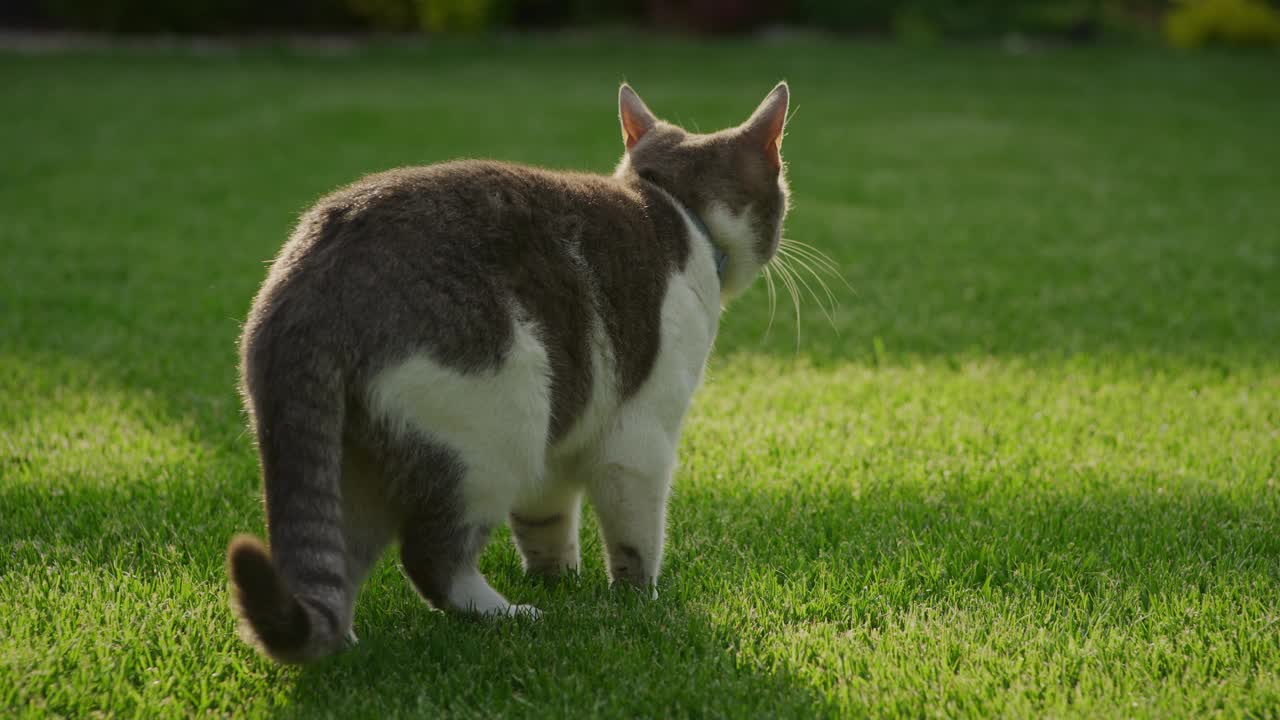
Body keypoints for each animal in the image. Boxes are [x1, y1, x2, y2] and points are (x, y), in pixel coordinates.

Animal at [230, 81, 788, 661]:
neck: (676, 207)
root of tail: (306, 286)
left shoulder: (559, 440)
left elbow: (546, 521)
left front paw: (559, 578)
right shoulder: (639, 435)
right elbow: (636, 535)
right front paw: (640, 599)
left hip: (355, 464)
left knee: (338, 563)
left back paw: (347, 643)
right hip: (493, 435)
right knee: (431, 560)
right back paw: (508, 614)